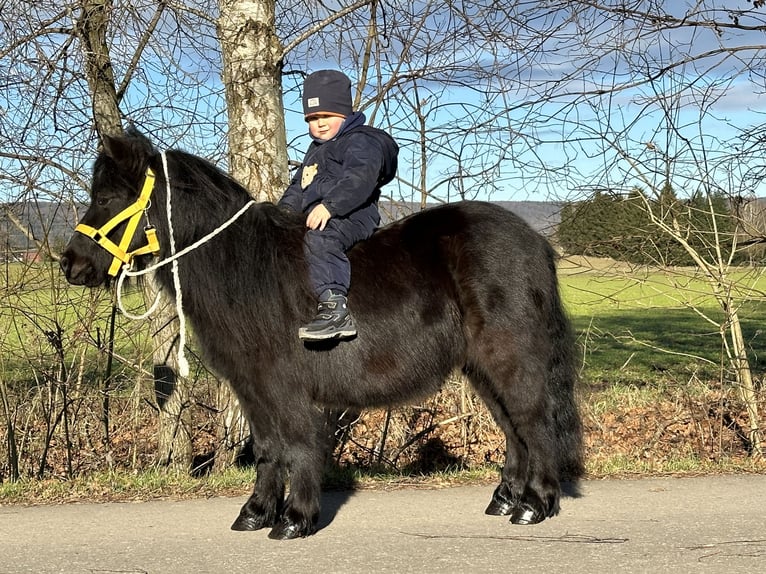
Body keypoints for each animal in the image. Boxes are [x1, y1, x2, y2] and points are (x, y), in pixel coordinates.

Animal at [60, 130, 584, 540]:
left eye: (106, 199)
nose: (70, 265)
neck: (242, 268)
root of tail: (536, 241)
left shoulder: (282, 384)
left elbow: (297, 444)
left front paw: (296, 517)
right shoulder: (252, 386)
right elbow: (267, 447)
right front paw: (256, 513)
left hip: (511, 357)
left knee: (535, 422)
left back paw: (535, 505)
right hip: (481, 367)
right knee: (514, 428)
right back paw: (506, 499)